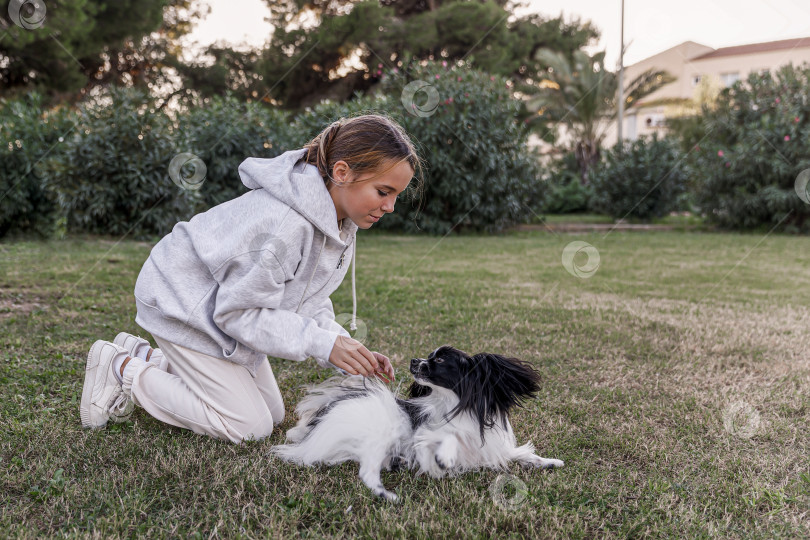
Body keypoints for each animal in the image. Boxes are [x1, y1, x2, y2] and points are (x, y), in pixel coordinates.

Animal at [272, 346, 560, 502]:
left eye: (440, 360)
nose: (413, 361)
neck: (455, 404)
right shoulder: (424, 438)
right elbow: (447, 437)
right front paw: (445, 458)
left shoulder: (490, 448)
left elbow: (520, 454)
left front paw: (547, 462)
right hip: (381, 433)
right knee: (366, 471)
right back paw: (387, 494)